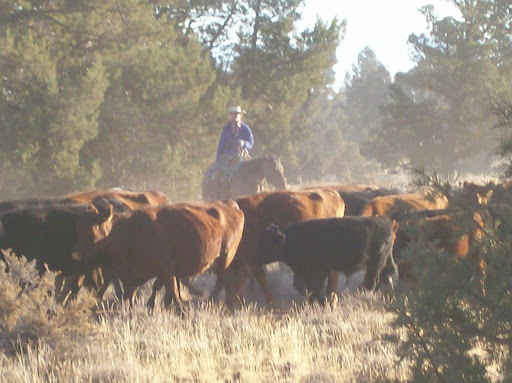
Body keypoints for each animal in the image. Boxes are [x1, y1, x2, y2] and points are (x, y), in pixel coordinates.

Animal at [72, 200, 246, 314]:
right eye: (78, 229)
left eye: (90, 231)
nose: (76, 256)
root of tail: (230, 205)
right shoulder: (133, 276)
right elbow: (133, 294)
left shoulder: (166, 270)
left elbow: (170, 289)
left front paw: (180, 310)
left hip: (225, 258)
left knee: (223, 282)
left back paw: (216, 303)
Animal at [214, 188, 346, 310]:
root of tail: (334, 194)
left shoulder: (252, 261)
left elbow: (260, 280)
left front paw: (270, 303)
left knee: (333, 275)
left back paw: (331, 299)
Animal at [258, 216, 398, 304]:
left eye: (268, 243)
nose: (256, 256)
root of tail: (386, 222)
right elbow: (308, 289)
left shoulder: (319, 272)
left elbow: (317, 289)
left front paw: (324, 303)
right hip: (383, 263)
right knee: (386, 277)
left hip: (376, 263)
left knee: (373, 282)